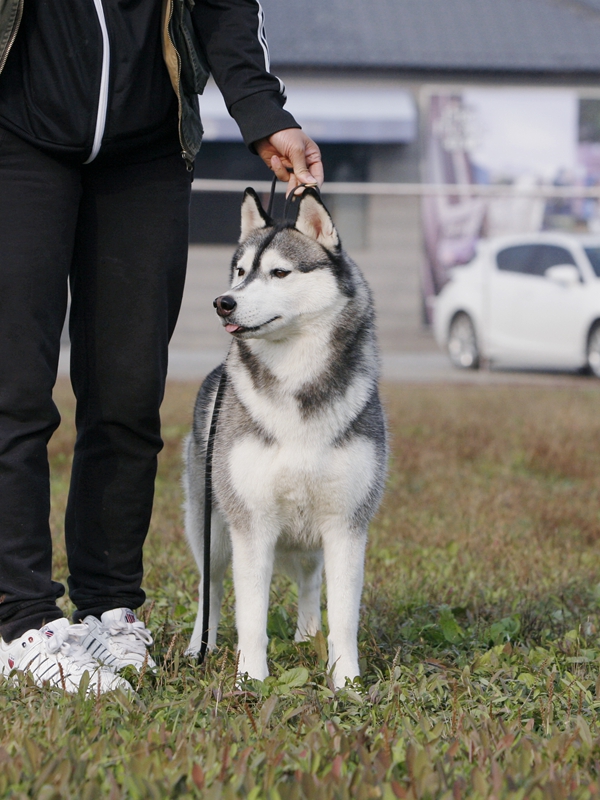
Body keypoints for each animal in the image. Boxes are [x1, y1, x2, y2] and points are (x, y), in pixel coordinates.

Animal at [183, 187, 387, 688]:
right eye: (240, 272)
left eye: (279, 272)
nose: (223, 302)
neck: (296, 382)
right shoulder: (251, 525)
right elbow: (251, 616)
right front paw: (250, 681)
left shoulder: (347, 525)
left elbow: (344, 617)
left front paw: (347, 683)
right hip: (210, 528)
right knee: (210, 588)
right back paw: (200, 647)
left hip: (310, 540)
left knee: (310, 582)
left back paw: (306, 635)